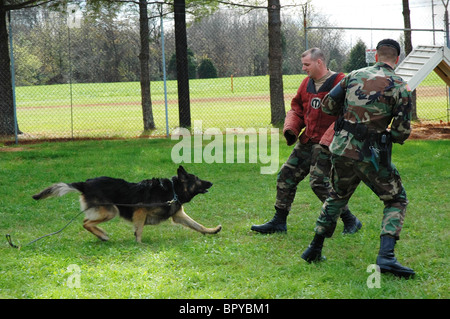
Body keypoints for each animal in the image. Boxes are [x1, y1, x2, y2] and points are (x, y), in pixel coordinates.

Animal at [31, 166, 221, 244]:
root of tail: (85, 184)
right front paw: (139, 244)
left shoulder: (178, 215)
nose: (211, 182)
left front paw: (212, 231)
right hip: (111, 211)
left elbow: (197, 225)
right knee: (86, 223)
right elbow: (139, 230)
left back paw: (101, 236)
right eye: (197, 179)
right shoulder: (140, 212)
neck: (173, 190)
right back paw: (103, 235)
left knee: (86, 221)